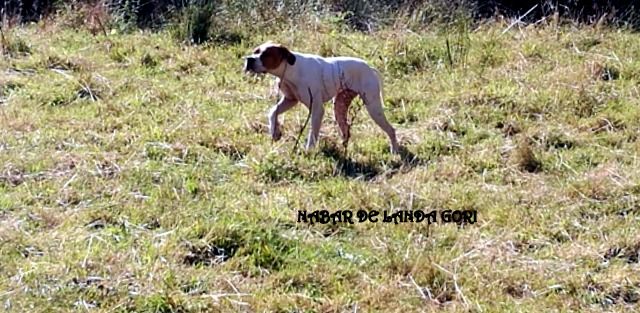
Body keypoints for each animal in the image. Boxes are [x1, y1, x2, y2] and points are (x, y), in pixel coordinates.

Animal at [242, 41, 398, 154]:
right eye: (255, 51)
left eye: (266, 54)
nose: (249, 59)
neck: (291, 69)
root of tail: (370, 68)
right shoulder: (290, 100)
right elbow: (272, 112)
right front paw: (275, 132)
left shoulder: (316, 109)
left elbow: (313, 132)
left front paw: (309, 150)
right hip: (340, 107)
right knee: (346, 130)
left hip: (373, 107)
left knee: (391, 130)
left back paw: (395, 151)